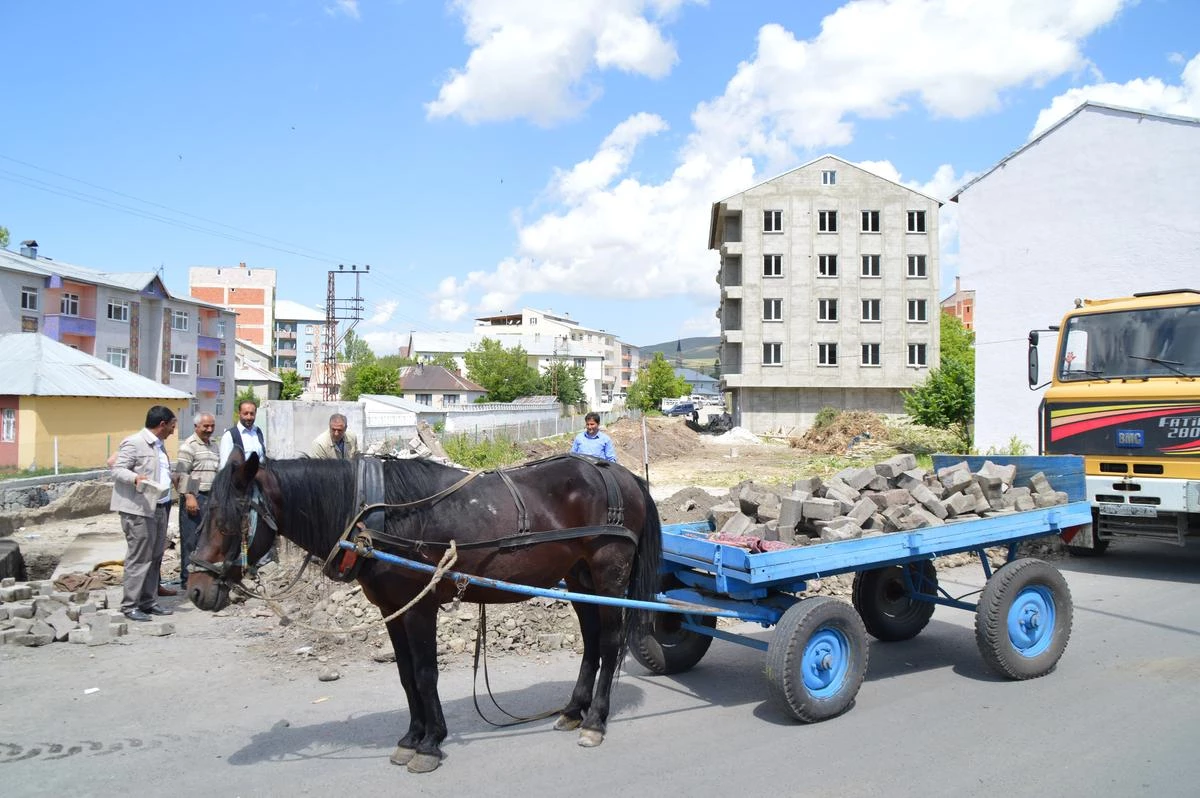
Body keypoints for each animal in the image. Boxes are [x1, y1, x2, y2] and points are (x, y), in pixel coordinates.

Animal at [184, 453, 667, 772]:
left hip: (608, 576)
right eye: (202, 512)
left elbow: (424, 673)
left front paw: (431, 744)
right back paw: (572, 710)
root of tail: (619, 473)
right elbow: (404, 675)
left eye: (229, 518)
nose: (195, 589)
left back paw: (596, 720)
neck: (373, 519)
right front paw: (411, 736)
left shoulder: (421, 607)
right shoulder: (394, 608)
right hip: (581, 579)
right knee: (591, 644)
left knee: (609, 644)